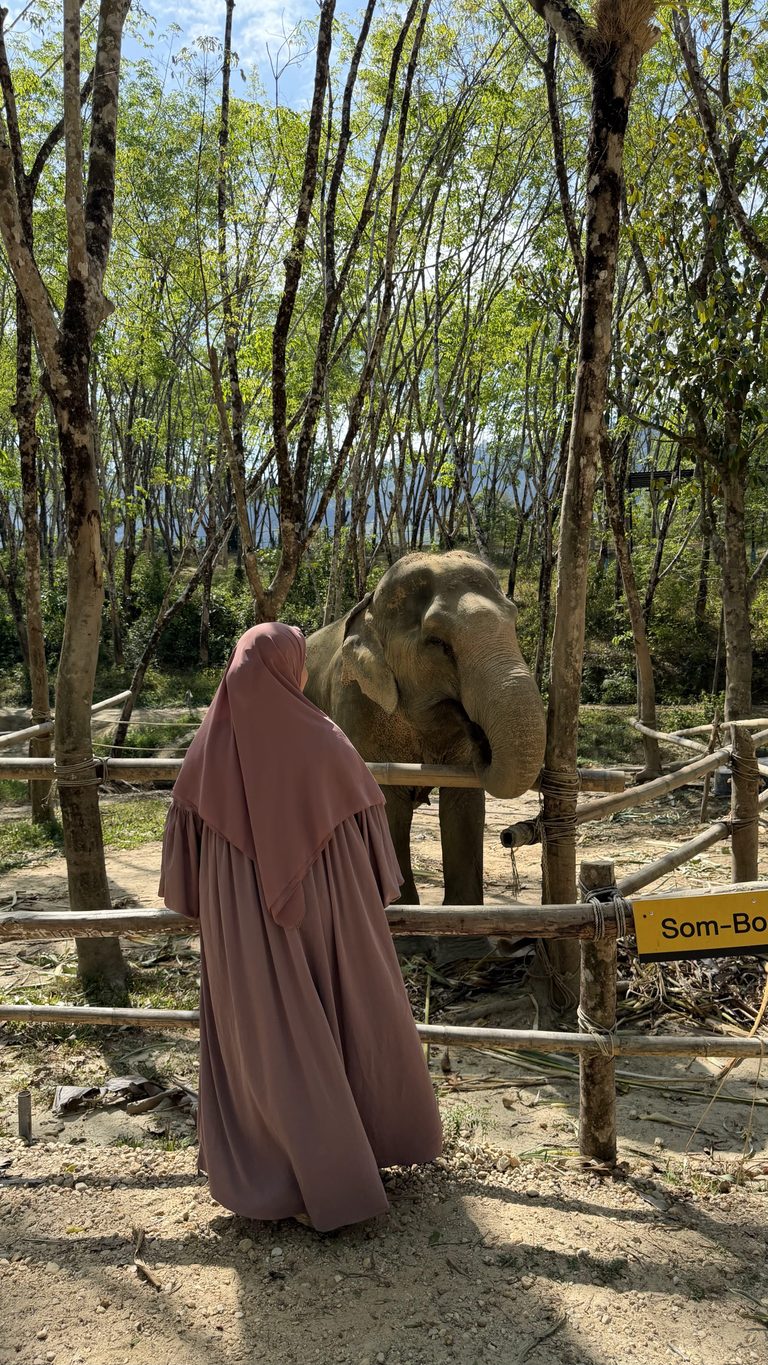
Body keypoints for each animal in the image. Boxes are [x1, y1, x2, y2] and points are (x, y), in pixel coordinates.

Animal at [305, 551, 546, 957]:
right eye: (438, 642)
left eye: (513, 622)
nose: (480, 736)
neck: (372, 610)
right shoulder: (355, 703)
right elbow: (386, 805)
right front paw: (407, 943)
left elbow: (463, 804)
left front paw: (467, 949)